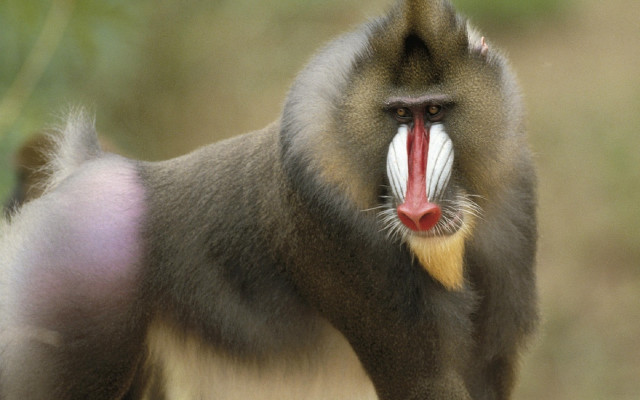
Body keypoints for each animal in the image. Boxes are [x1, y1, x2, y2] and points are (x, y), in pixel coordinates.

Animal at [0, 0, 538, 399]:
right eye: (401, 114)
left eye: (435, 110)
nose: (417, 210)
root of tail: (89, 169)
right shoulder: (344, 243)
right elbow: (423, 378)